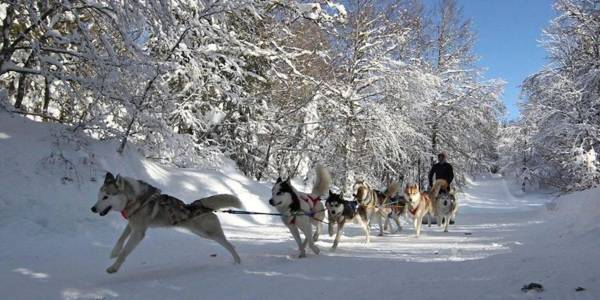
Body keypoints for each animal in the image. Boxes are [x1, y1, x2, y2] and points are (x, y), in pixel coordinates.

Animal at [91, 172, 241, 274]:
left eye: (106, 197)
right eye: (98, 196)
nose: (92, 209)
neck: (135, 200)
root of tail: (198, 205)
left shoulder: (138, 232)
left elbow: (124, 252)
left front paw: (113, 268)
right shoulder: (132, 225)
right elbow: (121, 239)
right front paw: (114, 252)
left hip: (209, 234)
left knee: (230, 246)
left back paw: (238, 263)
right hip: (202, 234)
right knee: (230, 245)